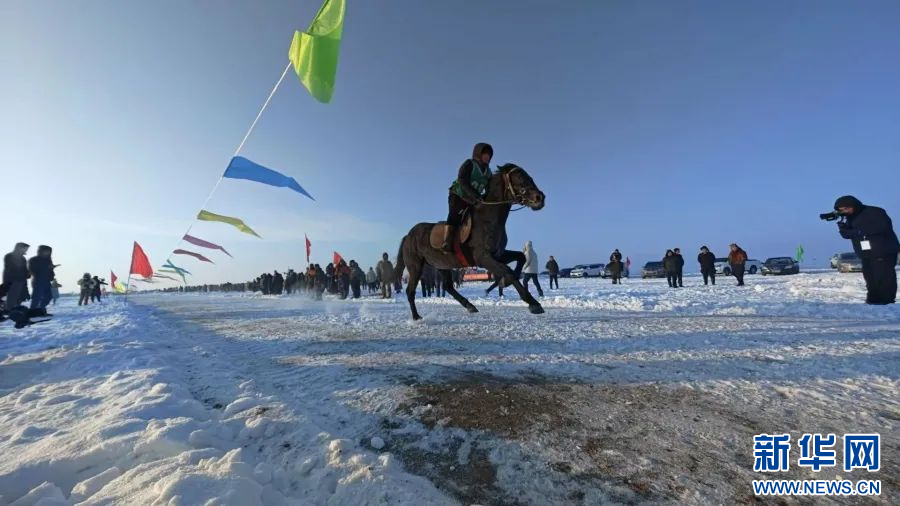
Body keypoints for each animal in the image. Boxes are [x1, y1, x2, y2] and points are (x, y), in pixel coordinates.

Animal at [396, 164, 548, 318]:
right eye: (519, 178)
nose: (540, 197)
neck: (488, 218)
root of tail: (408, 235)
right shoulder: (483, 258)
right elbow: (508, 271)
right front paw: (533, 303)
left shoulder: (498, 254)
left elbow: (520, 257)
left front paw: (504, 282)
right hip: (415, 266)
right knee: (410, 291)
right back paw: (416, 316)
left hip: (442, 265)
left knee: (448, 286)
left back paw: (469, 305)